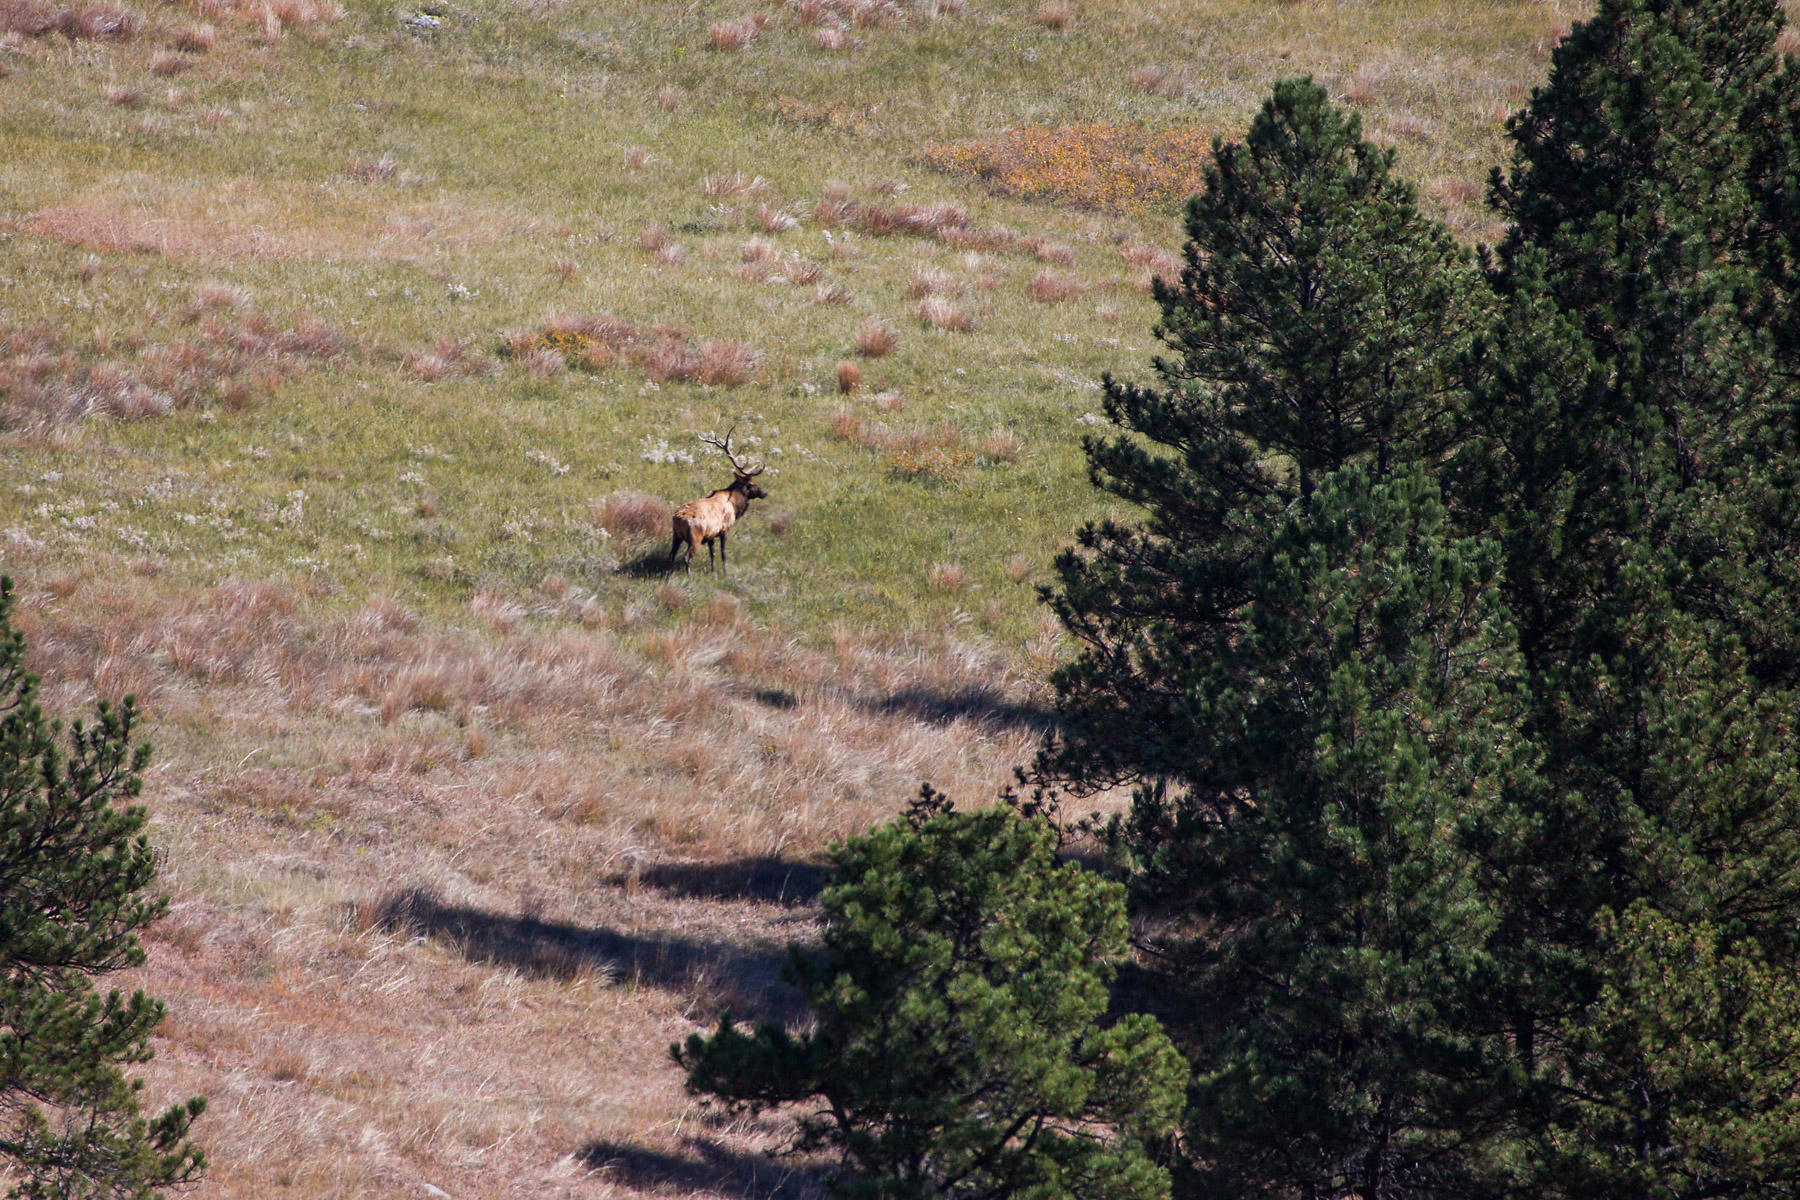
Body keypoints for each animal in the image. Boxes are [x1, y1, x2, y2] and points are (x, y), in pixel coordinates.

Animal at [669, 422, 766, 572]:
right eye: (752, 484)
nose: (764, 493)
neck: (734, 505)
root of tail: (678, 518)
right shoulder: (725, 529)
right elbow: (723, 553)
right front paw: (725, 571)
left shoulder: (711, 535)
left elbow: (712, 554)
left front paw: (713, 571)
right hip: (695, 537)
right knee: (687, 557)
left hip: (676, 536)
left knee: (671, 556)